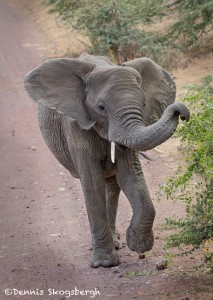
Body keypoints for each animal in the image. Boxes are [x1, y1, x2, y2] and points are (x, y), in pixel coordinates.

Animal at [23, 53, 190, 268]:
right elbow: (92, 184)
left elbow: (131, 177)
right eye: (101, 108)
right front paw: (104, 263)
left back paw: (117, 241)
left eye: (144, 104)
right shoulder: (76, 126)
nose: (181, 112)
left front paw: (138, 245)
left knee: (112, 185)